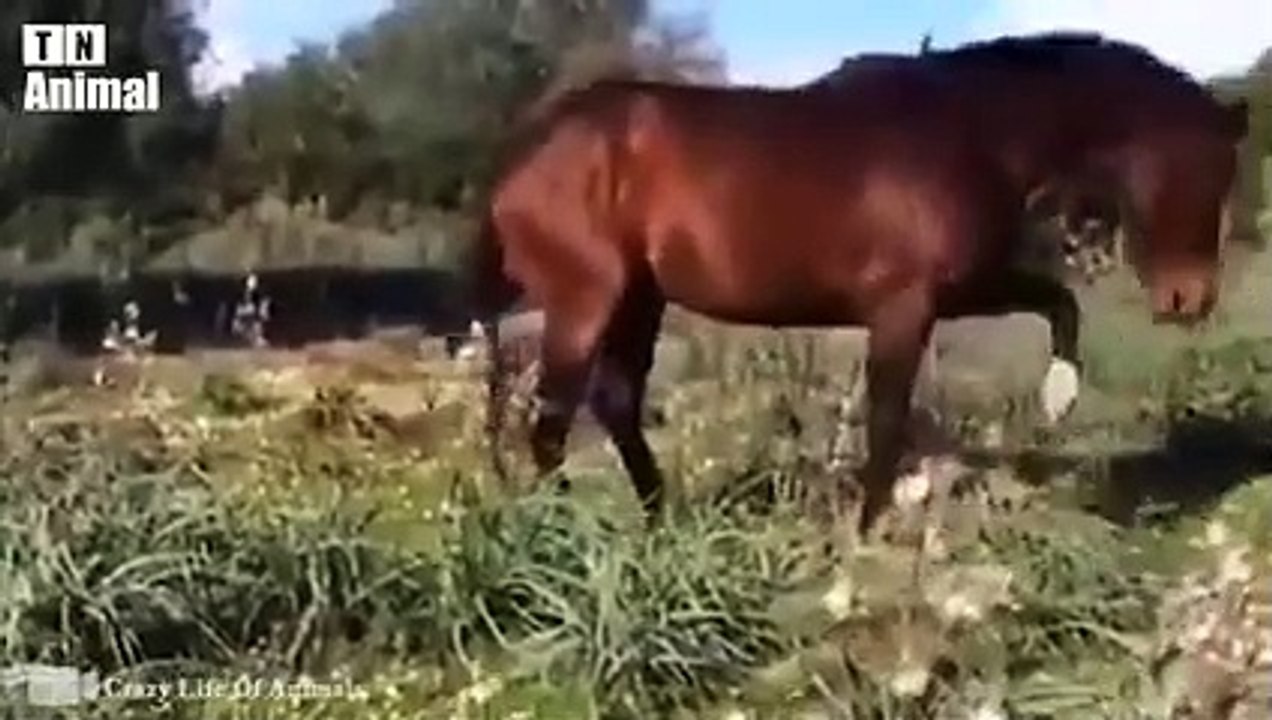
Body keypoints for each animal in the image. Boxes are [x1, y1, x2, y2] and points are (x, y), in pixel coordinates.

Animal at [468, 32, 1249, 535]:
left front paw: (1058, 397)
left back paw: (659, 523)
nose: (1189, 299)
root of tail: (522, 154)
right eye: (1202, 169)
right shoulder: (905, 304)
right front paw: (866, 532)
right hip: (586, 301)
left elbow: (1056, 301)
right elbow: (887, 417)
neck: (970, 126)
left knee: (614, 402)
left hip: (640, 300)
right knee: (553, 423)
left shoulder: (958, 289)